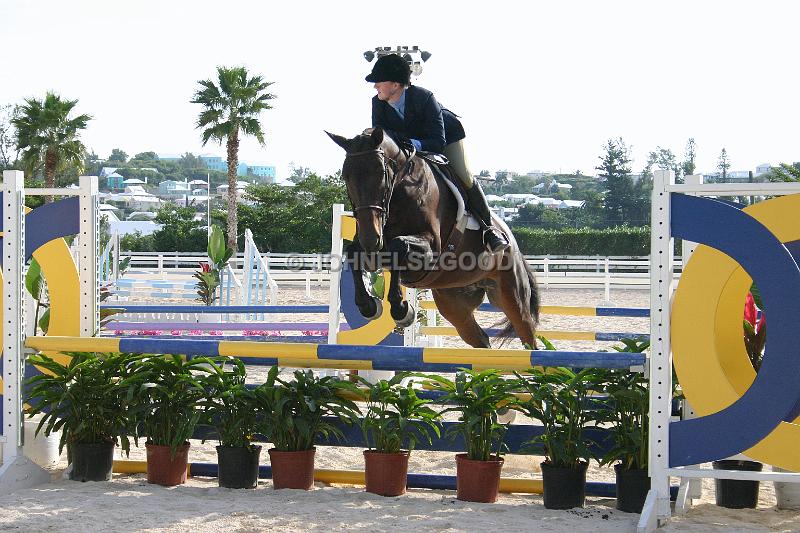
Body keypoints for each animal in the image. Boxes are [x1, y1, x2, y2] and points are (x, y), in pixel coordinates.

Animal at [328, 126, 540, 348]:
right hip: (454, 304)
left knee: (527, 335)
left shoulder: (430, 248)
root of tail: (512, 241)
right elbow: (353, 252)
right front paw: (369, 305)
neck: (401, 192)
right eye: (346, 176)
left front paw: (402, 310)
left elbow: (398, 246)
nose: (371, 239)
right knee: (481, 340)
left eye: (381, 174)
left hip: (511, 295)